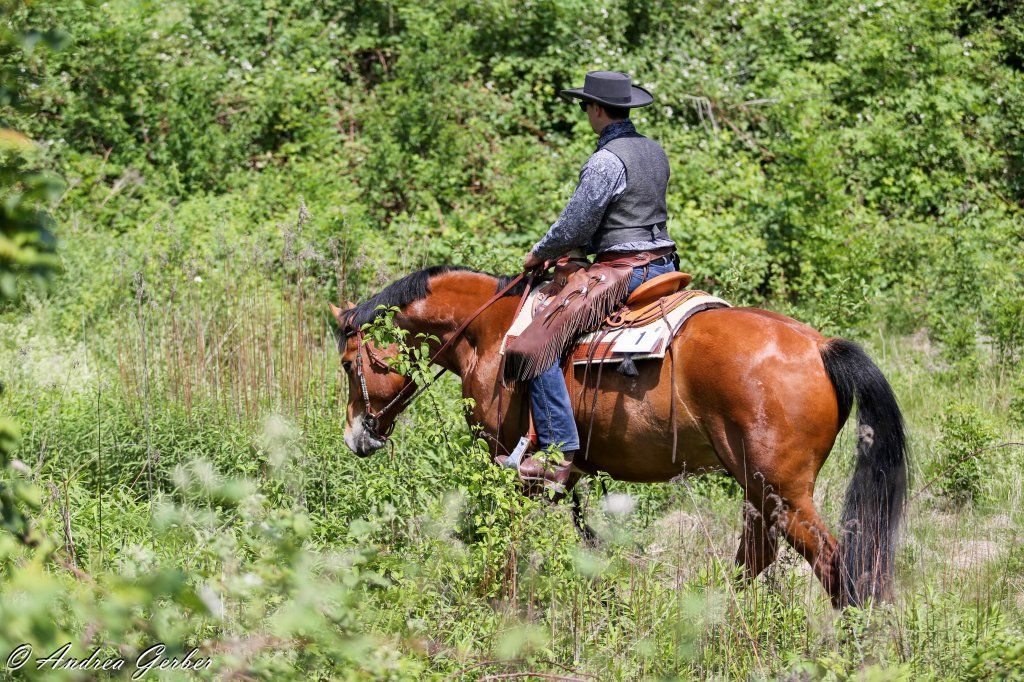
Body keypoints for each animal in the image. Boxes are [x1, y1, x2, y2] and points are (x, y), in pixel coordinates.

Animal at [329, 265, 908, 608]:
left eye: (348, 362)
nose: (356, 437)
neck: (490, 334)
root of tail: (820, 347)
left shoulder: (504, 463)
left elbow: (504, 538)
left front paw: (498, 598)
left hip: (783, 492)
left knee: (834, 568)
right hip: (758, 490)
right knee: (756, 559)